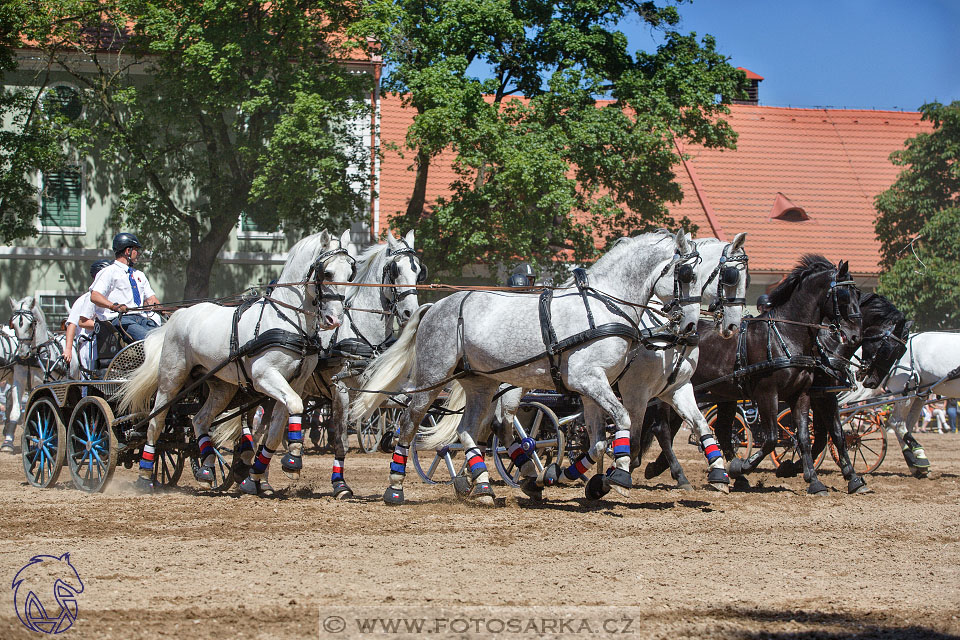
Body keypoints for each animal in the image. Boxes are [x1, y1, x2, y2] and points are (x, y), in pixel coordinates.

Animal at [117, 230, 356, 496]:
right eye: (327, 273)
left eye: (350, 274)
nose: (334, 319)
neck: (288, 322)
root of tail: (178, 314)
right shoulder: (264, 377)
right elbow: (294, 407)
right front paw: (292, 460)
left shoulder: (296, 383)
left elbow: (276, 430)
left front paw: (258, 475)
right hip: (172, 379)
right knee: (155, 423)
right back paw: (144, 475)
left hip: (221, 387)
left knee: (200, 420)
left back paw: (207, 468)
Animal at [352, 230, 728, 504]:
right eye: (685, 273)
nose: (691, 326)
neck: (603, 306)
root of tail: (437, 305)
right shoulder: (593, 381)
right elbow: (623, 422)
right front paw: (618, 476)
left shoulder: (593, 388)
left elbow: (597, 441)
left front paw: (564, 475)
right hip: (432, 378)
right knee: (408, 424)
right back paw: (395, 487)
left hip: (482, 384)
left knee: (468, 431)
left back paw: (487, 485)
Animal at [636, 255, 864, 496]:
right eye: (844, 295)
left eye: (858, 294)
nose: (855, 335)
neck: (785, 335)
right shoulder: (768, 393)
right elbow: (771, 438)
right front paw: (742, 467)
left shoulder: (803, 394)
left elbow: (806, 437)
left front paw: (816, 481)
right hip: (671, 392)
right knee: (663, 430)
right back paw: (680, 474)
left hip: (714, 394)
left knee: (717, 430)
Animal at [840, 330, 960, 476]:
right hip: (906, 391)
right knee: (897, 422)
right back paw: (920, 456)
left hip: (919, 394)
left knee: (905, 425)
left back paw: (914, 461)